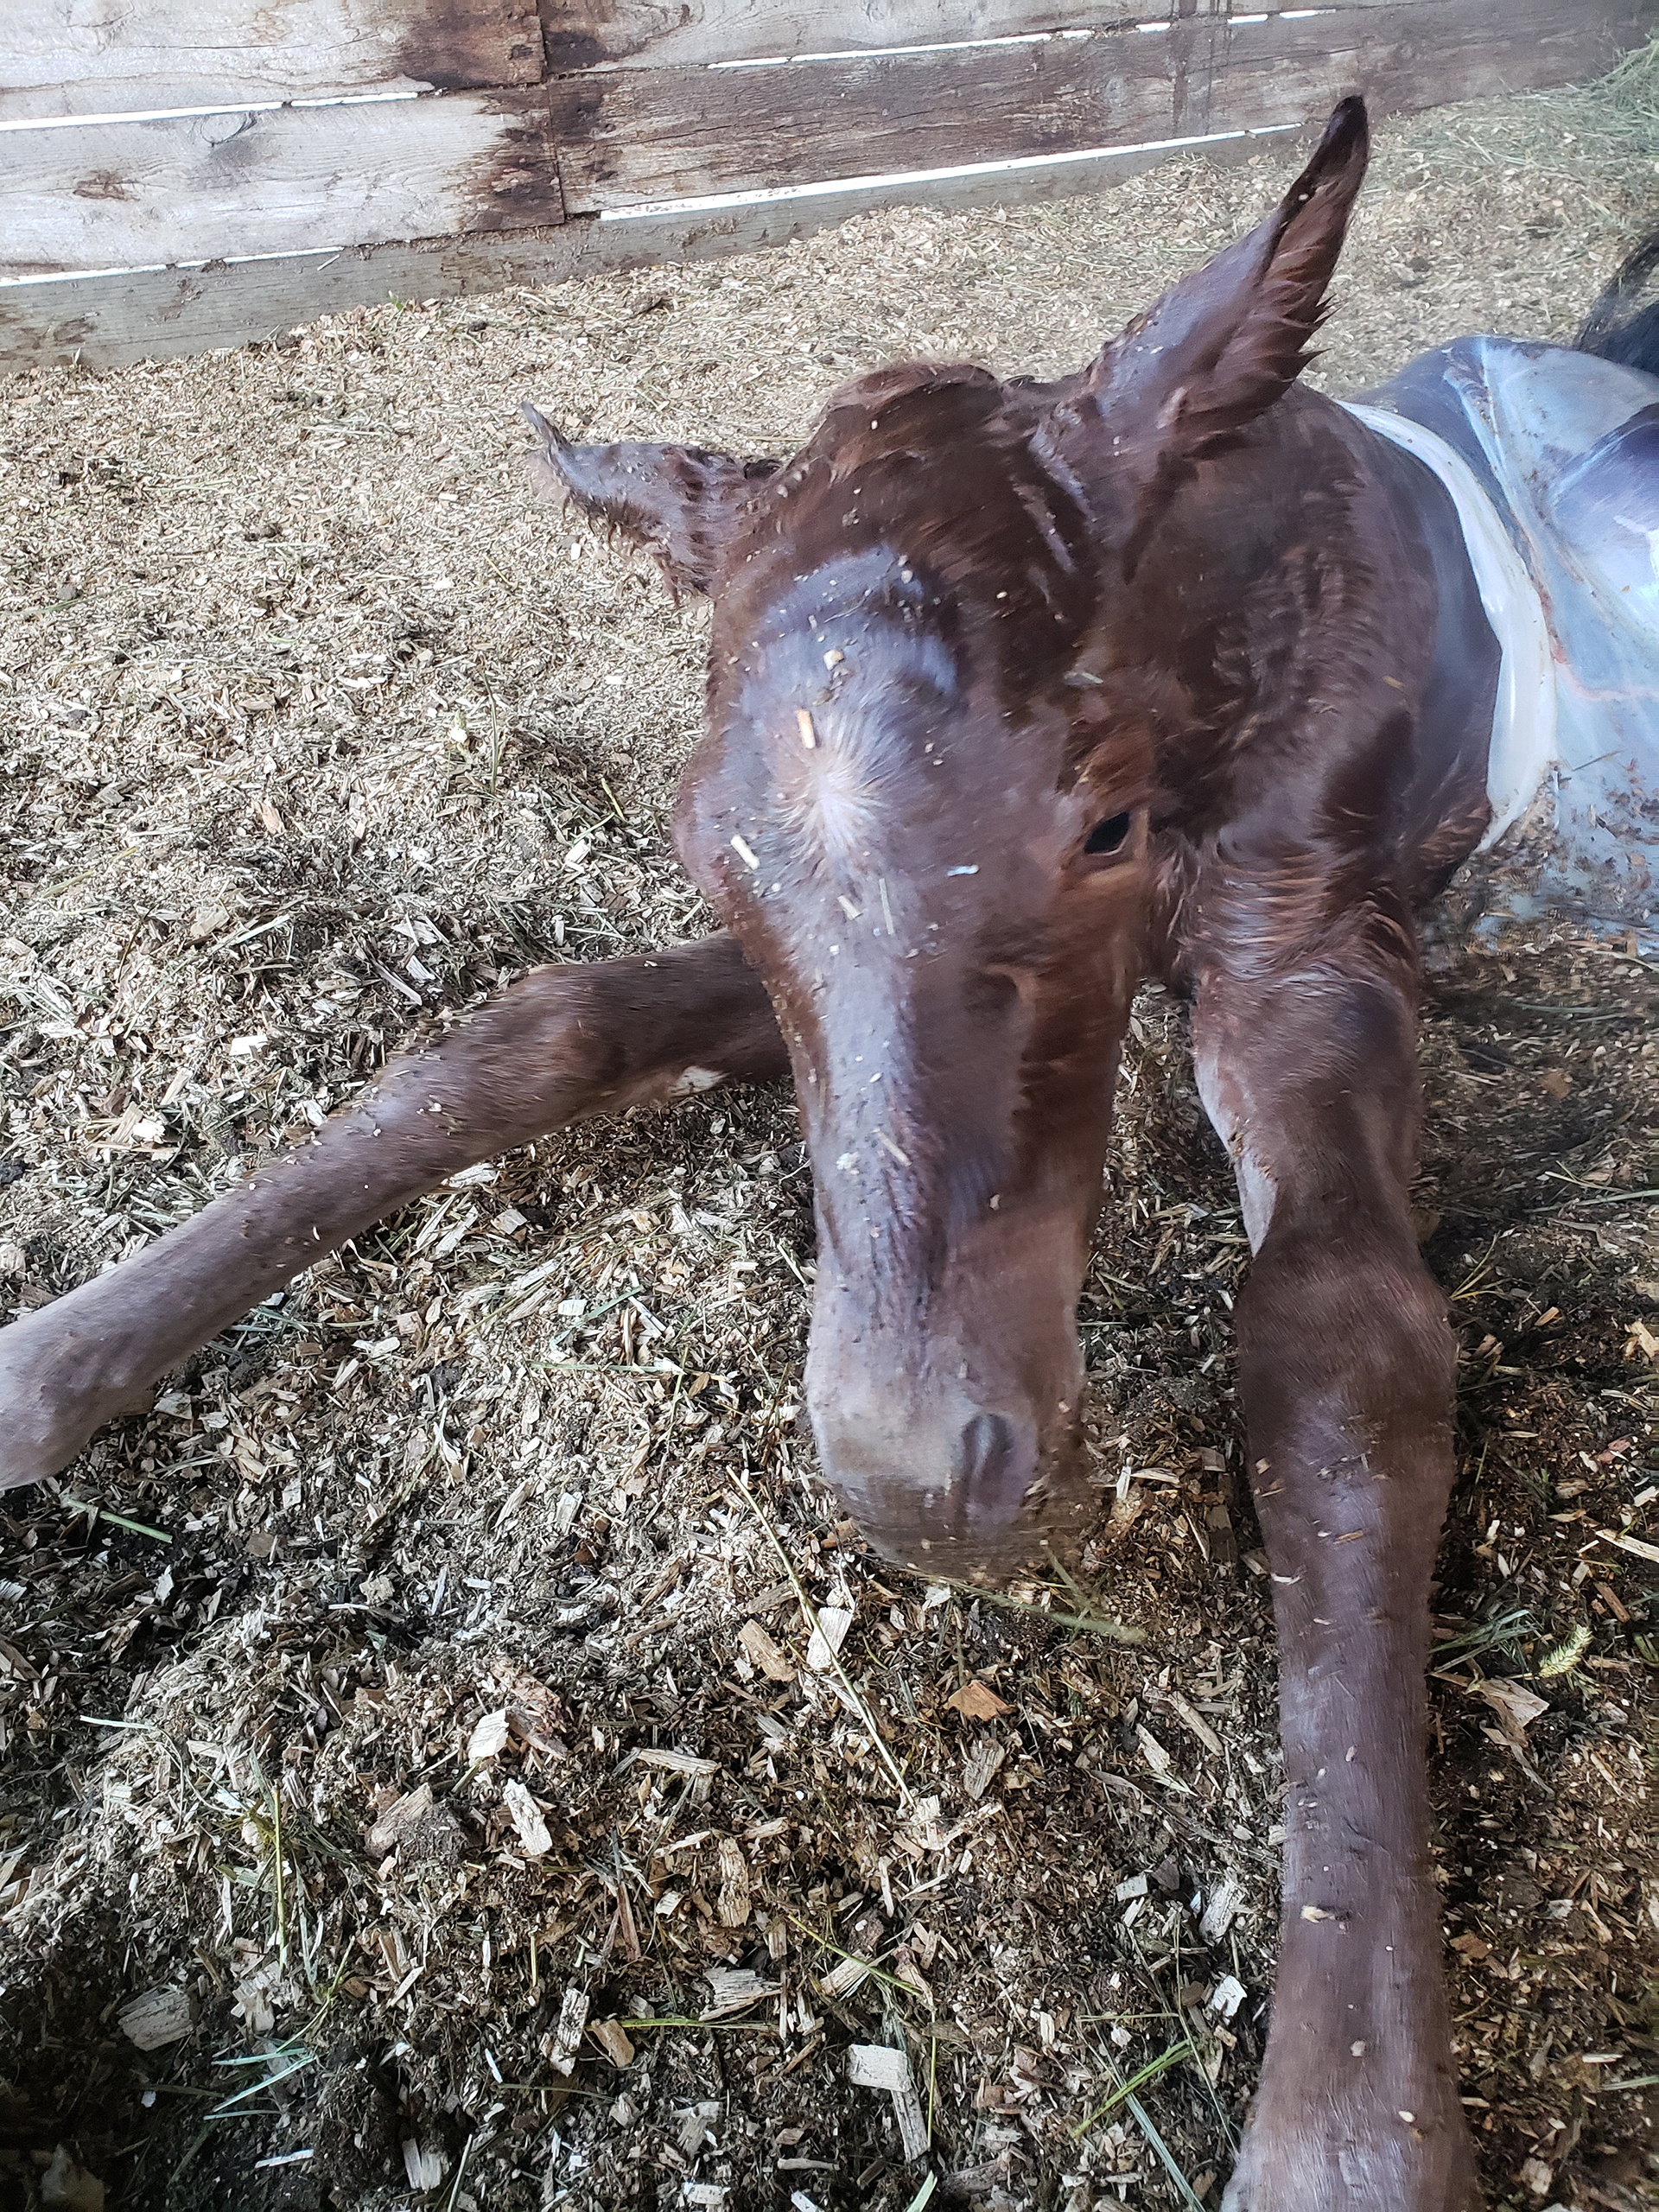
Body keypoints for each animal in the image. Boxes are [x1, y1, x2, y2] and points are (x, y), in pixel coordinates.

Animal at [2, 98, 1656, 2211]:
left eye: (1101, 817)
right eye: (705, 839)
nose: (919, 1472)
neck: (1263, 593)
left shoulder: (1315, 946)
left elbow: (1346, 1345)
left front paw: (1350, 2133)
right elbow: (541, 1023)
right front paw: (47, 1366)